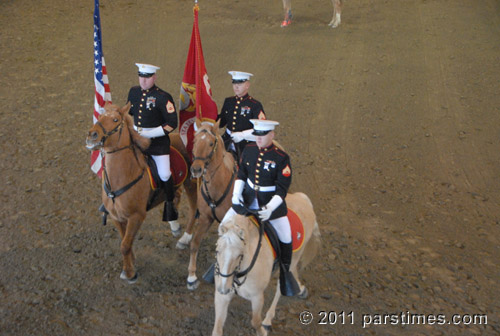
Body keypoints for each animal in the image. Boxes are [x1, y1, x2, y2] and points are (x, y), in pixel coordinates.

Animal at [85, 103, 196, 284]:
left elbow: (124, 245)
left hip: (192, 184)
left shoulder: (136, 216)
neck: (122, 177)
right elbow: (125, 241)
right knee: (175, 196)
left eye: (115, 120)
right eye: (99, 117)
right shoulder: (116, 217)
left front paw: (129, 273)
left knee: (194, 210)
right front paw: (131, 263)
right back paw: (174, 224)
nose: (92, 135)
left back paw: (184, 239)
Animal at [180, 119, 238, 290]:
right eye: (195, 141)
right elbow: (195, 243)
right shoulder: (206, 218)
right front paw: (191, 276)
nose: (196, 169)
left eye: (211, 143)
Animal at [211, 193, 320, 334]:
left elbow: (256, 321)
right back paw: (300, 289)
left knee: (282, 284)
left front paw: (263, 331)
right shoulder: (221, 297)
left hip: (293, 258)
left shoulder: (257, 296)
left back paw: (268, 319)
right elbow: (217, 329)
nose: (223, 288)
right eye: (217, 251)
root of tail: (303, 199)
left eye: (240, 255)